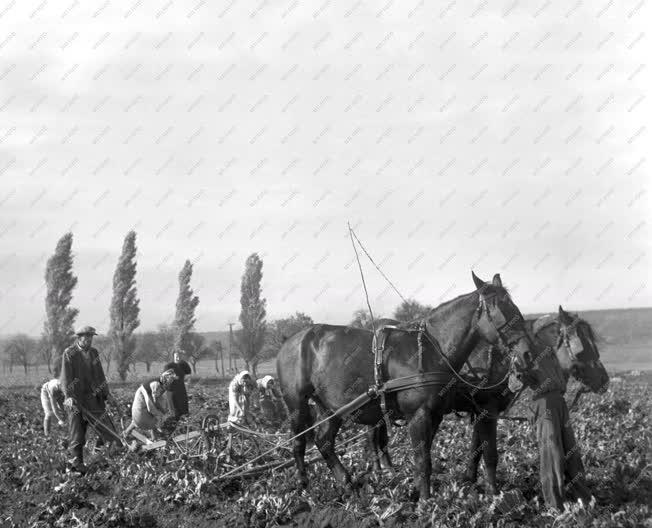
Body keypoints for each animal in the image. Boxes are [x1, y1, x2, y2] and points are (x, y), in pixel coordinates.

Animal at [276, 272, 536, 500]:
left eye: (516, 309)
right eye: (499, 311)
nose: (527, 354)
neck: (431, 349)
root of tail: (290, 340)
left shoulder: (436, 414)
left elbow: (430, 455)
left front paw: (420, 490)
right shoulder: (422, 413)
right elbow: (425, 459)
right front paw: (425, 502)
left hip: (332, 407)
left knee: (324, 441)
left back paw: (348, 484)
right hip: (296, 403)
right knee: (299, 442)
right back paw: (304, 486)